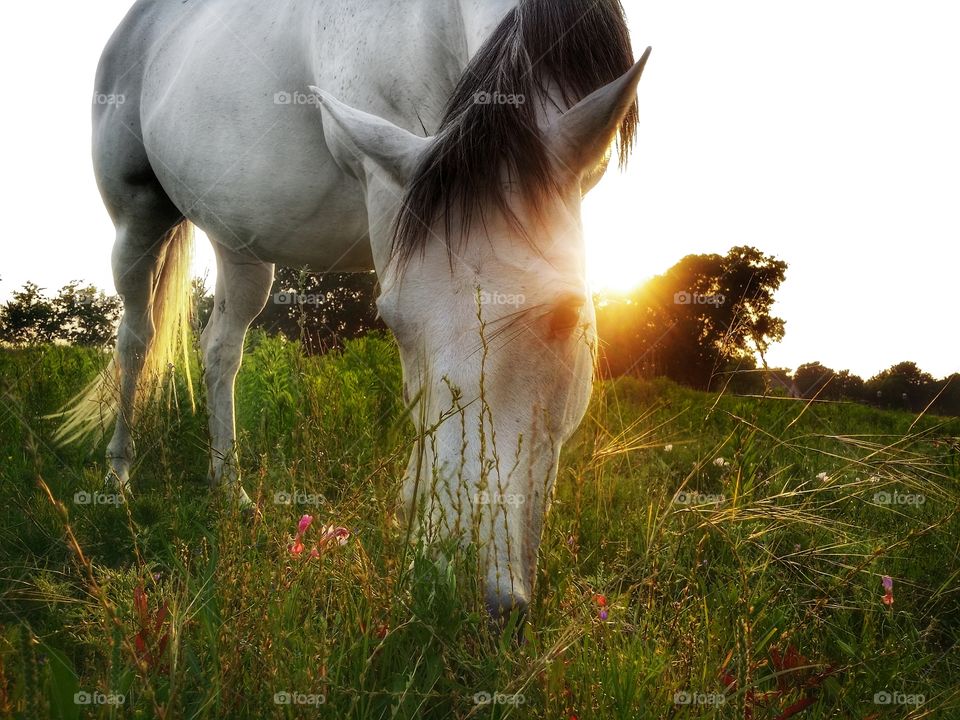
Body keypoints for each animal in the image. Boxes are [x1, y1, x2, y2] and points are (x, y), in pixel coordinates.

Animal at [63, 0, 652, 620]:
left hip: (237, 241)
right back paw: (119, 477)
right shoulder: (386, 186)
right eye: (393, 320)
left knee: (220, 350)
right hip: (138, 218)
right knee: (136, 339)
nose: (463, 594)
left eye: (569, 316)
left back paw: (230, 490)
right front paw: (412, 531)